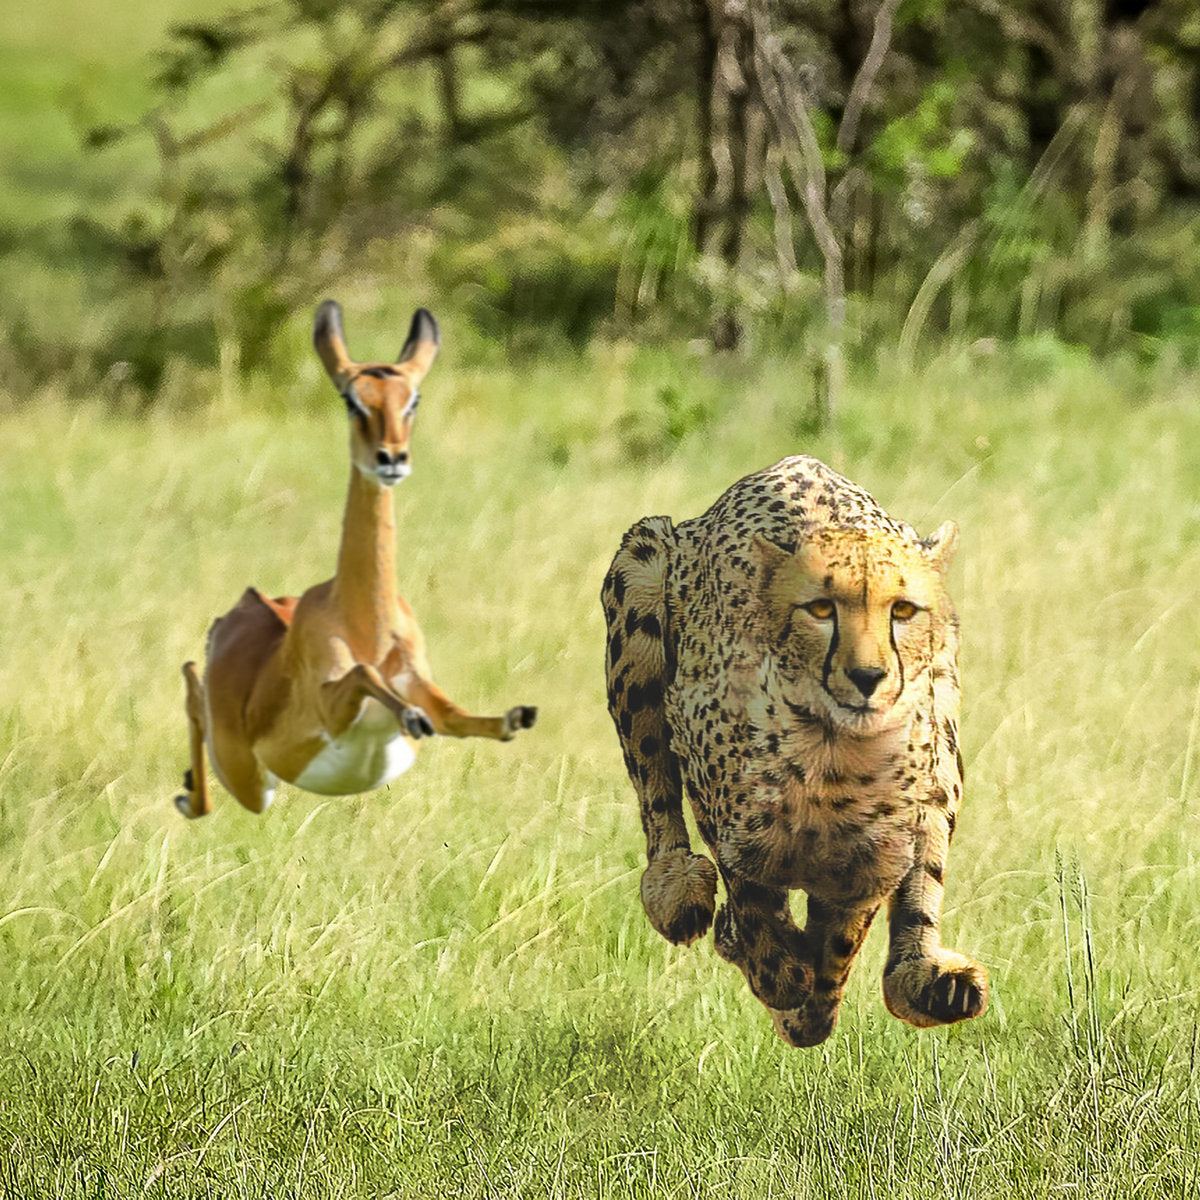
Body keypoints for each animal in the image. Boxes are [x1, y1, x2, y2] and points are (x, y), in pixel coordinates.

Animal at [600, 453, 984, 1046]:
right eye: (821, 609)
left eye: (902, 611)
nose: (869, 676)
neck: (834, 756)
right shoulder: (723, 805)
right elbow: (751, 897)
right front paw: (777, 973)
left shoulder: (872, 857)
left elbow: (841, 935)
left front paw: (806, 1005)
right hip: (643, 567)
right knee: (654, 789)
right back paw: (677, 893)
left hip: (944, 733)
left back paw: (930, 984)